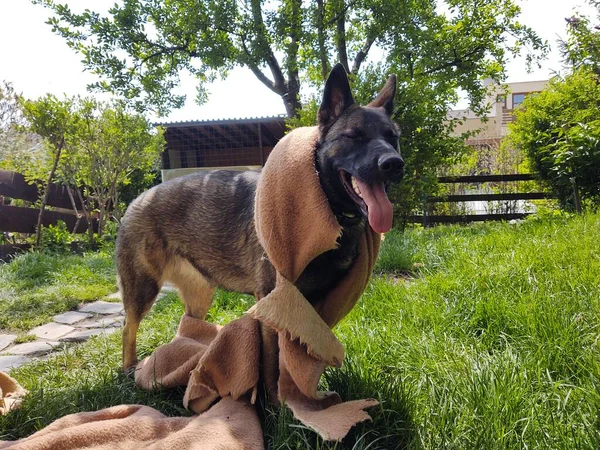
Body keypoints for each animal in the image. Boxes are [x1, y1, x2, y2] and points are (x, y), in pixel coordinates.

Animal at [117, 64, 406, 370]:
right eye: (353, 136)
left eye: (392, 138)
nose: (394, 164)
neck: (328, 209)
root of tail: (137, 200)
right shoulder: (273, 301)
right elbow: (271, 362)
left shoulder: (315, 307)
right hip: (143, 289)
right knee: (128, 327)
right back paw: (131, 368)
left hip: (200, 296)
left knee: (188, 327)